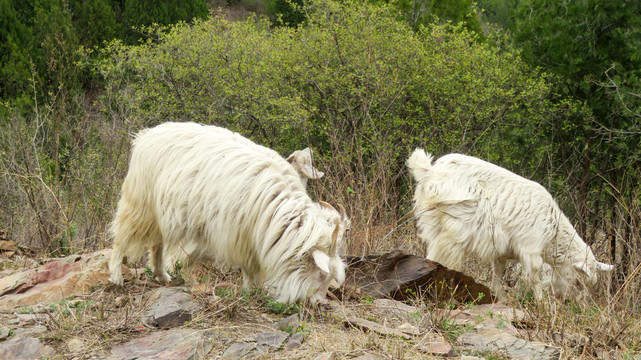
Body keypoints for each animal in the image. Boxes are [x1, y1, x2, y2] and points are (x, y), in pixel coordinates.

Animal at [109, 122, 350, 302]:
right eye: (322, 273)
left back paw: (162, 276)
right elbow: (249, 270)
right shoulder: (239, 237)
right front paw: (251, 292)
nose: (317, 303)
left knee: (156, 244)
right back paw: (116, 277)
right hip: (140, 204)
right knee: (121, 238)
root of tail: (146, 135)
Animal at [408, 148, 612, 300]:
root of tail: (431, 172)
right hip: (456, 224)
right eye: (578, 281)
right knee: (445, 254)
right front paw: (542, 304)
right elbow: (535, 276)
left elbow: (497, 274)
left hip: (433, 221)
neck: (553, 231)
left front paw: (498, 297)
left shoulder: (501, 252)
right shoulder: (531, 248)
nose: (566, 300)